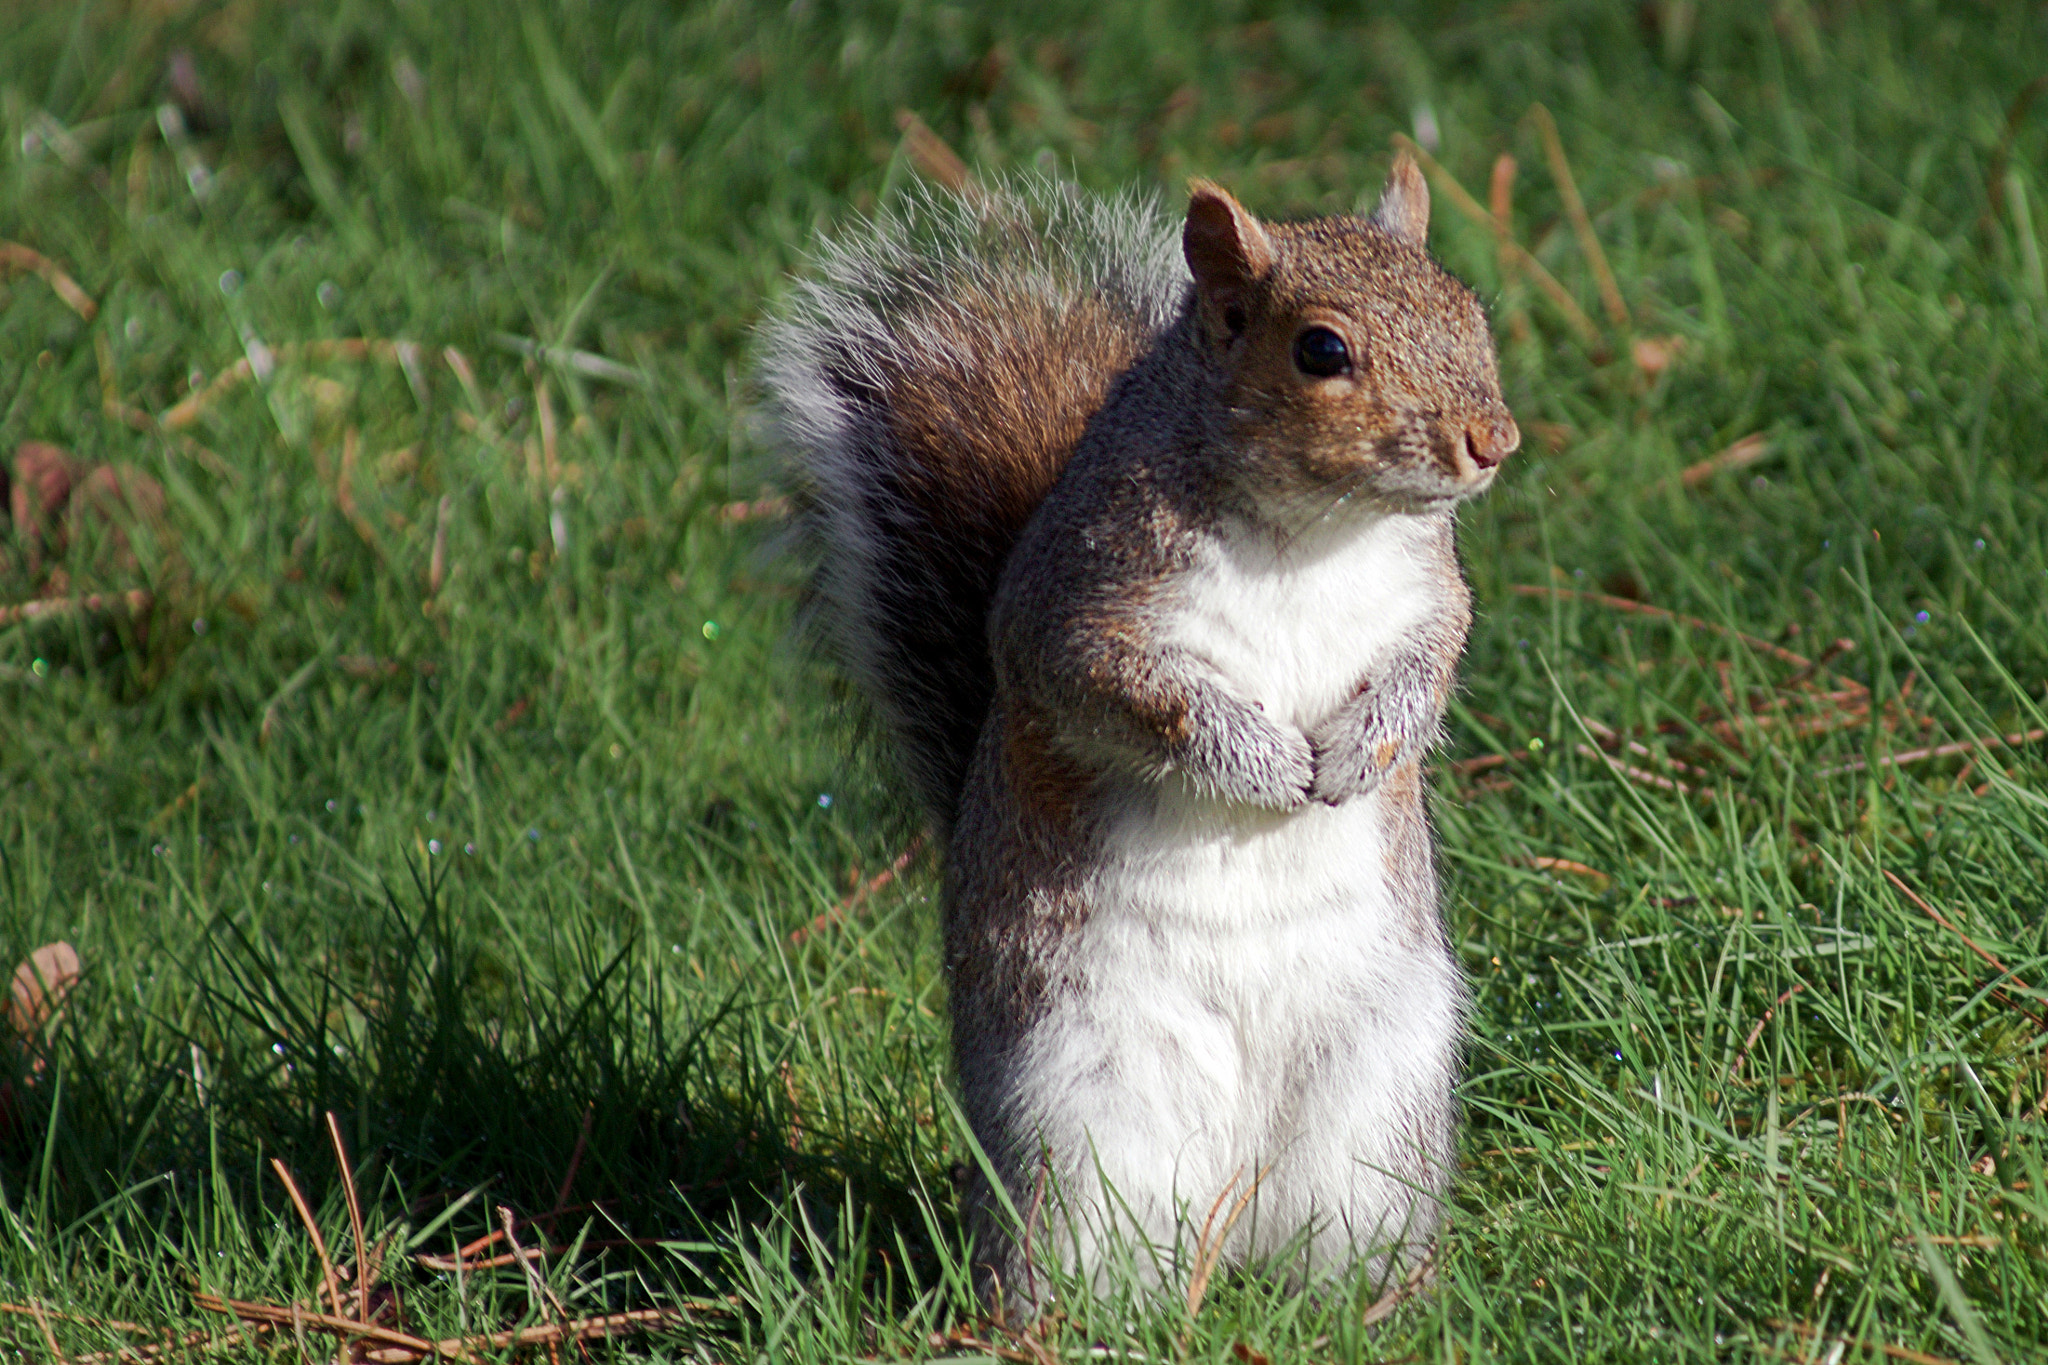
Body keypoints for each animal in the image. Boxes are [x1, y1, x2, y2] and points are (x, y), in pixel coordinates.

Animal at [761, 157, 1515, 1309]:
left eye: (1467, 311)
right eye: (1321, 351)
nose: (1492, 441)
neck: (1318, 530)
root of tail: (1235, 1215)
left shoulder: (1432, 596)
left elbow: (1425, 669)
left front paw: (1359, 747)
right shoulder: (1078, 614)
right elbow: (1132, 694)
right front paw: (1263, 760)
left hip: (1379, 1106)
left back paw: (1380, 1304)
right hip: (1078, 1114)